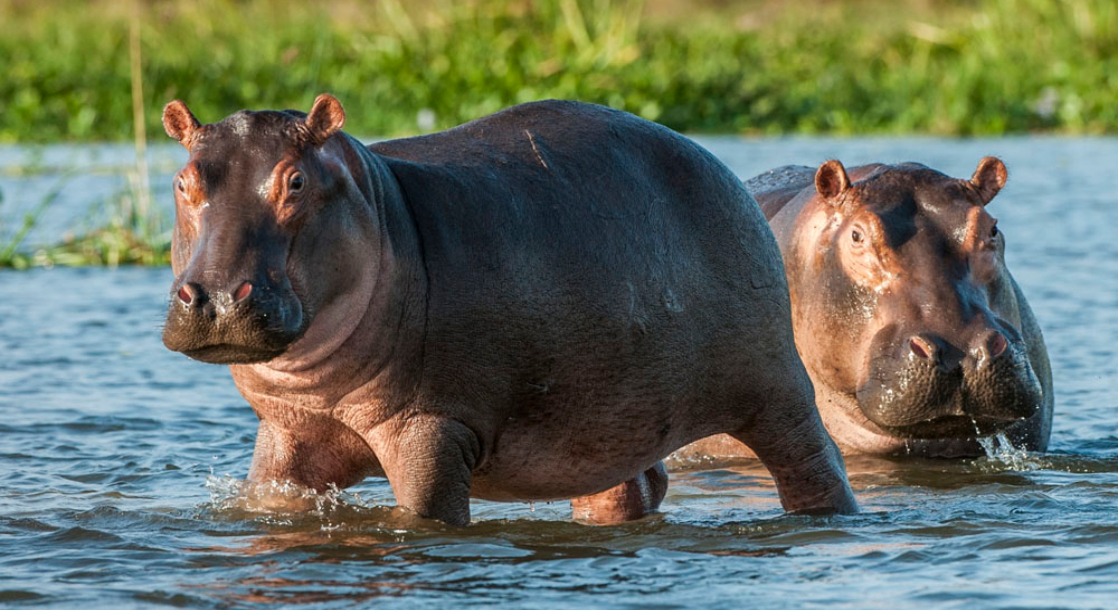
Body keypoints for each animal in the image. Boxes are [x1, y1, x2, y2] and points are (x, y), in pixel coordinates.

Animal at [157, 93, 854, 522]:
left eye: (296, 180)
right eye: (183, 181)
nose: (215, 297)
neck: (379, 204)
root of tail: (723, 168)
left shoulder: (431, 428)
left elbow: (426, 515)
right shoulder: (287, 433)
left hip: (775, 389)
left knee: (814, 462)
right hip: (606, 419)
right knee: (629, 488)